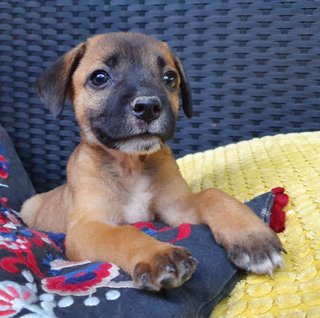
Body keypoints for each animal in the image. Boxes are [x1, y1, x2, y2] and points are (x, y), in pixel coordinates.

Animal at [21, 32, 284, 290]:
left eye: (169, 78)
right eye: (99, 77)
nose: (148, 106)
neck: (130, 166)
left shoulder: (177, 209)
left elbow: (212, 195)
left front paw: (252, 238)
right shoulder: (87, 227)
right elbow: (125, 234)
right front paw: (158, 254)